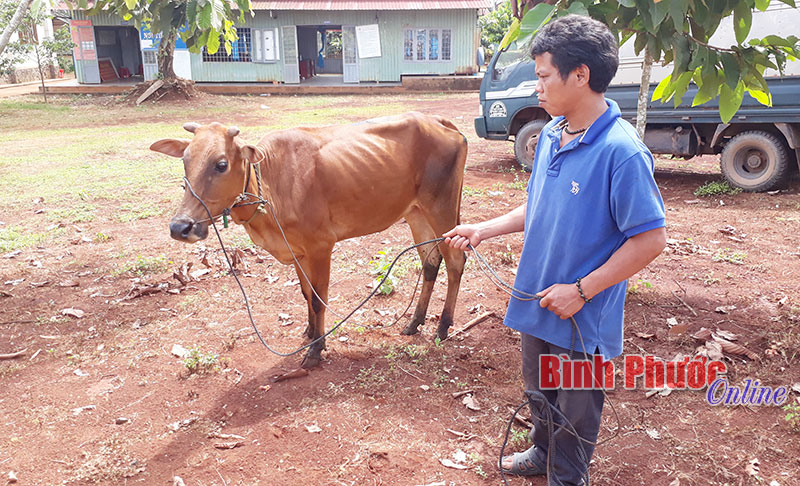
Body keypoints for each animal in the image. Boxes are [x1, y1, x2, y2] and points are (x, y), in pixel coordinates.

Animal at [152, 111, 468, 368]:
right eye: (185, 161)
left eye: (221, 164)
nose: (180, 227)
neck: (271, 186)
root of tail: (441, 122)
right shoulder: (297, 251)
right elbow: (306, 294)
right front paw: (309, 332)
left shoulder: (321, 246)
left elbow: (318, 299)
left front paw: (317, 349)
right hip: (416, 213)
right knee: (431, 261)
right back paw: (414, 322)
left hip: (441, 208)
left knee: (455, 260)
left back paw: (443, 326)